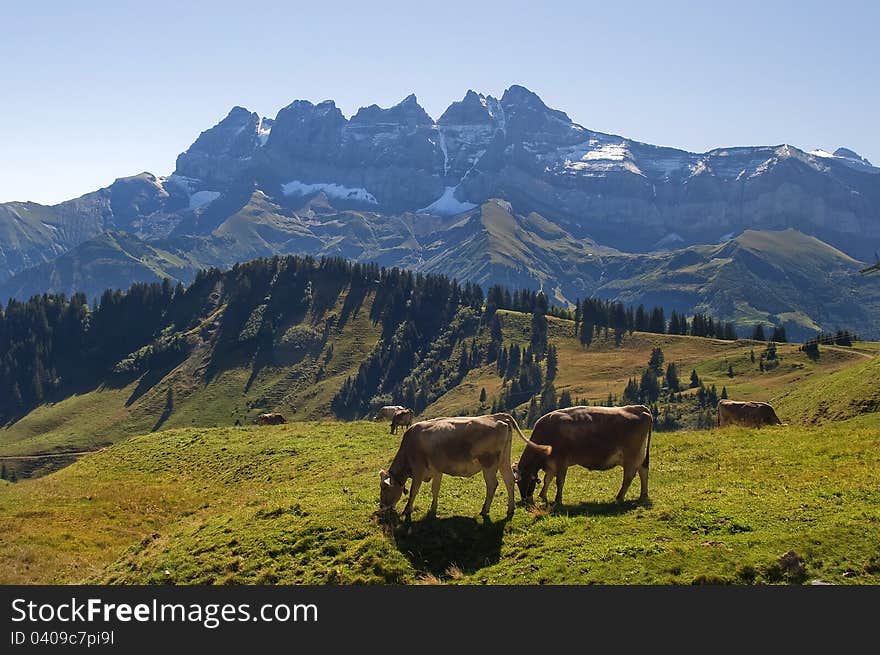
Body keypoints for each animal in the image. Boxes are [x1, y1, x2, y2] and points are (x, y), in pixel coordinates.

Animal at [378, 416, 552, 516]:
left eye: (384, 488)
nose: (381, 506)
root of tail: (499, 419)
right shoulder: (437, 470)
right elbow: (435, 489)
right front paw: (433, 509)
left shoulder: (418, 470)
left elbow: (414, 491)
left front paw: (407, 509)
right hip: (504, 460)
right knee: (509, 480)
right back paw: (510, 509)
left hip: (488, 463)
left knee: (492, 484)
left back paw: (485, 509)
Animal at [512, 404, 648, 508]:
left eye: (522, 481)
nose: (524, 501)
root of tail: (640, 408)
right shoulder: (551, 463)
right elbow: (547, 479)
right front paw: (543, 496)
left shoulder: (561, 460)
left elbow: (559, 481)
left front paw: (557, 500)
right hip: (640, 456)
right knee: (643, 471)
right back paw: (643, 495)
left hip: (631, 456)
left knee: (629, 477)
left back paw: (619, 498)